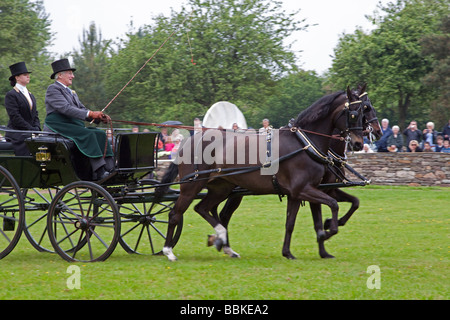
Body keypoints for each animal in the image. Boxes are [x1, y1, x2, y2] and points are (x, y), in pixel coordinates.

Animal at [158, 87, 366, 260]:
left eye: (365, 111)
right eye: (354, 113)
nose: (358, 143)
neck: (304, 143)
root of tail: (188, 141)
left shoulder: (299, 192)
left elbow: (291, 222)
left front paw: (289, 252)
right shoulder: (304, 189)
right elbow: (332, 206)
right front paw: (328, 230)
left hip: (221, 188)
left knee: (203, 209)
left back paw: (220, 239)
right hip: (191, 185)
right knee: (175, 214)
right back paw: (168, 251)